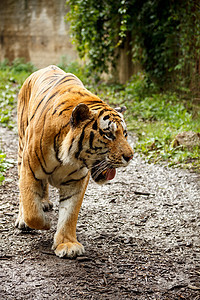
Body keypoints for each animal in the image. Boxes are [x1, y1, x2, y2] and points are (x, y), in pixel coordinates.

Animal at [15, 65, 134, 258]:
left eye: (125, 134)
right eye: (108, 135)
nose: (130, 156)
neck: (67, 158)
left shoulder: (76, 181)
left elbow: (69, 214)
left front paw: (67, 244)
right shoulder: (29, 169)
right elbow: (32, 209)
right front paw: (45, 223)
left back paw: (45, 202)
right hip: (20, 147)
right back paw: (23, 217)